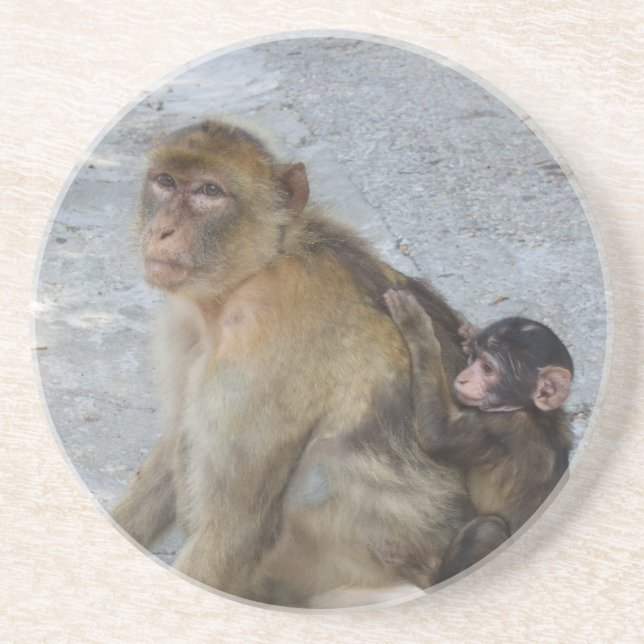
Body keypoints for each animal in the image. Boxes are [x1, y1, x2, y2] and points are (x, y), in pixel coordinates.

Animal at [111, 118, 474, 607]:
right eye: (166, 182)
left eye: (209, 190)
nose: (163, 229)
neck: (253, 272)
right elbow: (172, 450)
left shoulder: (261, 351)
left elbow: (235, 528)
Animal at [383, 289, 573, 584]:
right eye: (474, 359)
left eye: (487, 369)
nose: (464, 378)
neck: (528, 410)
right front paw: (469, 334)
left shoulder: (500, 427)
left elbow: (436, 436)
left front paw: (416, 325)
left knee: (488, 528)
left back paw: (428, 575)